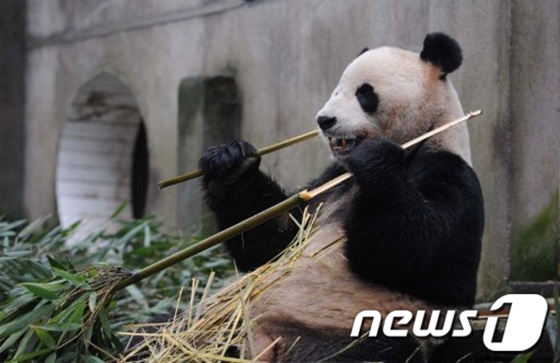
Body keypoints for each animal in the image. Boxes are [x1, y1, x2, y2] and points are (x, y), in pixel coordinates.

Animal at [199, 32, 484, 362]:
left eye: (365, 94)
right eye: (337, 90)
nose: (324, 120)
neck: (420, 138)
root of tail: (259, 345)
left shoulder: (451, 174)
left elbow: (418, 253)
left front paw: (374, 160)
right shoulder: (330, 182)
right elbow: (273, 243)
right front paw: (232, 164)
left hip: (337, 331)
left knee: (355, 353)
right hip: (225, 324)